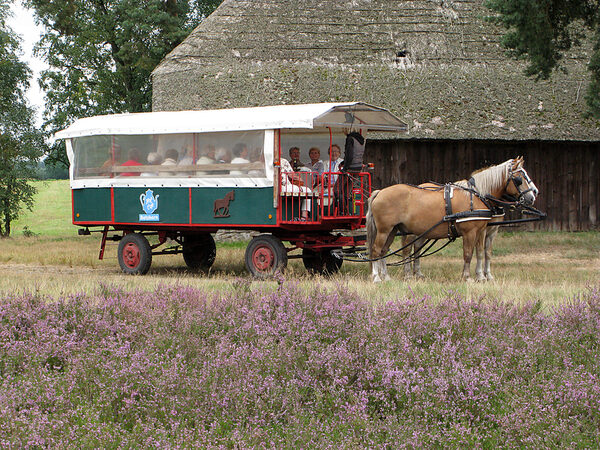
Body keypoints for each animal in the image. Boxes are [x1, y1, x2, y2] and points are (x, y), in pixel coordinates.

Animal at [366, 158, 540, 284]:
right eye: (519, 179)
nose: (533, 195)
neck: (477, 195)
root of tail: (380, 192)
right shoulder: (470, 231)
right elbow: (468, 253)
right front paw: (468, 277)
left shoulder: (482, 230)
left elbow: (482, 252)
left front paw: (482, 276)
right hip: (385, 230)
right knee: (377, 250)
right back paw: (377, 277)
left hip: (393, 229)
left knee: (384, 251)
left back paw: (387, 277)